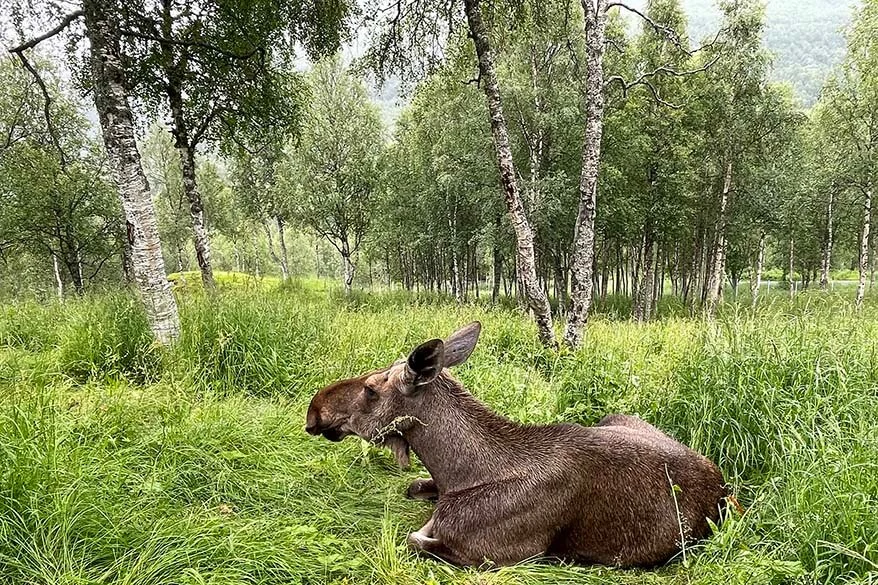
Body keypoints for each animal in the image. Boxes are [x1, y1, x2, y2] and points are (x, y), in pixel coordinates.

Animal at [306, 322, 732, 568]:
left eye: (370, 389)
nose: (314, 409)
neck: (459, 476)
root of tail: (724, 486)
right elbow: (414, 489)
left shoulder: (497, 553)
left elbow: (414, 539)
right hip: (616, 417)